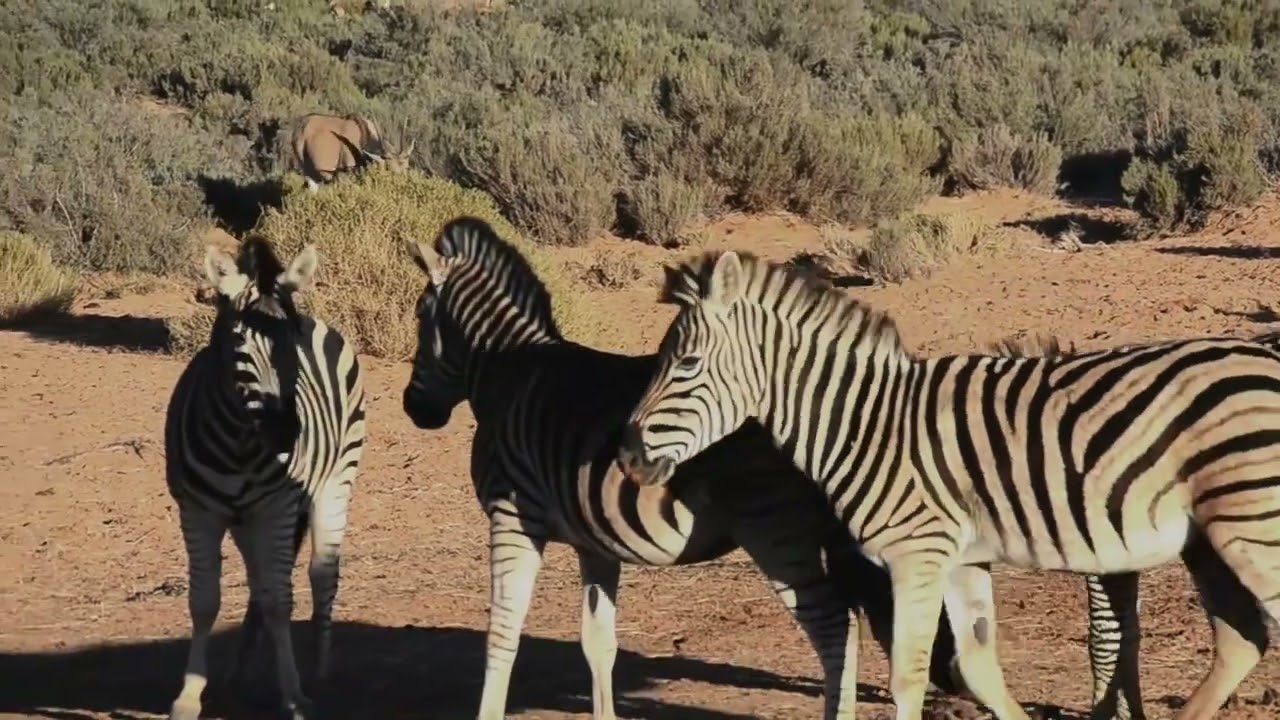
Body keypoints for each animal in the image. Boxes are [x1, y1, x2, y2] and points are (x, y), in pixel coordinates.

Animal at [165, 237, 367, 720]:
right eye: (239, 339)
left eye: (292, 340)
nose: (285, 431)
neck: (238, 441)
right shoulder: (198, 512)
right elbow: (204, 601)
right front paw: (189, 694)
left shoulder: (276, 509)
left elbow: (280, 601)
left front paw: (292, 694)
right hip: (245, 520)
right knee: (259, 581)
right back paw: (242, 667)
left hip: (336, 482)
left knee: (320, 573)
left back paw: (320, 667)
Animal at [399, 216, 965, 720]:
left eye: (420, 316)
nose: (413, 409)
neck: (506, 374)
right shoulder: (593, 542)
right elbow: (597, 642)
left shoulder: (511, 517)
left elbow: (502, 633)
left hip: (775, 533)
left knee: (834, 628)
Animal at [616, 248, 1280, 720]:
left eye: (686, 365)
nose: (625, 457)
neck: (867, 422)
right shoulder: (962, 557)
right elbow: (978, 666)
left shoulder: (916, 552)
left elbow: (908, 675)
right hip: (1209, 538)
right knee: (1241, 639)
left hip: (1254, 528)